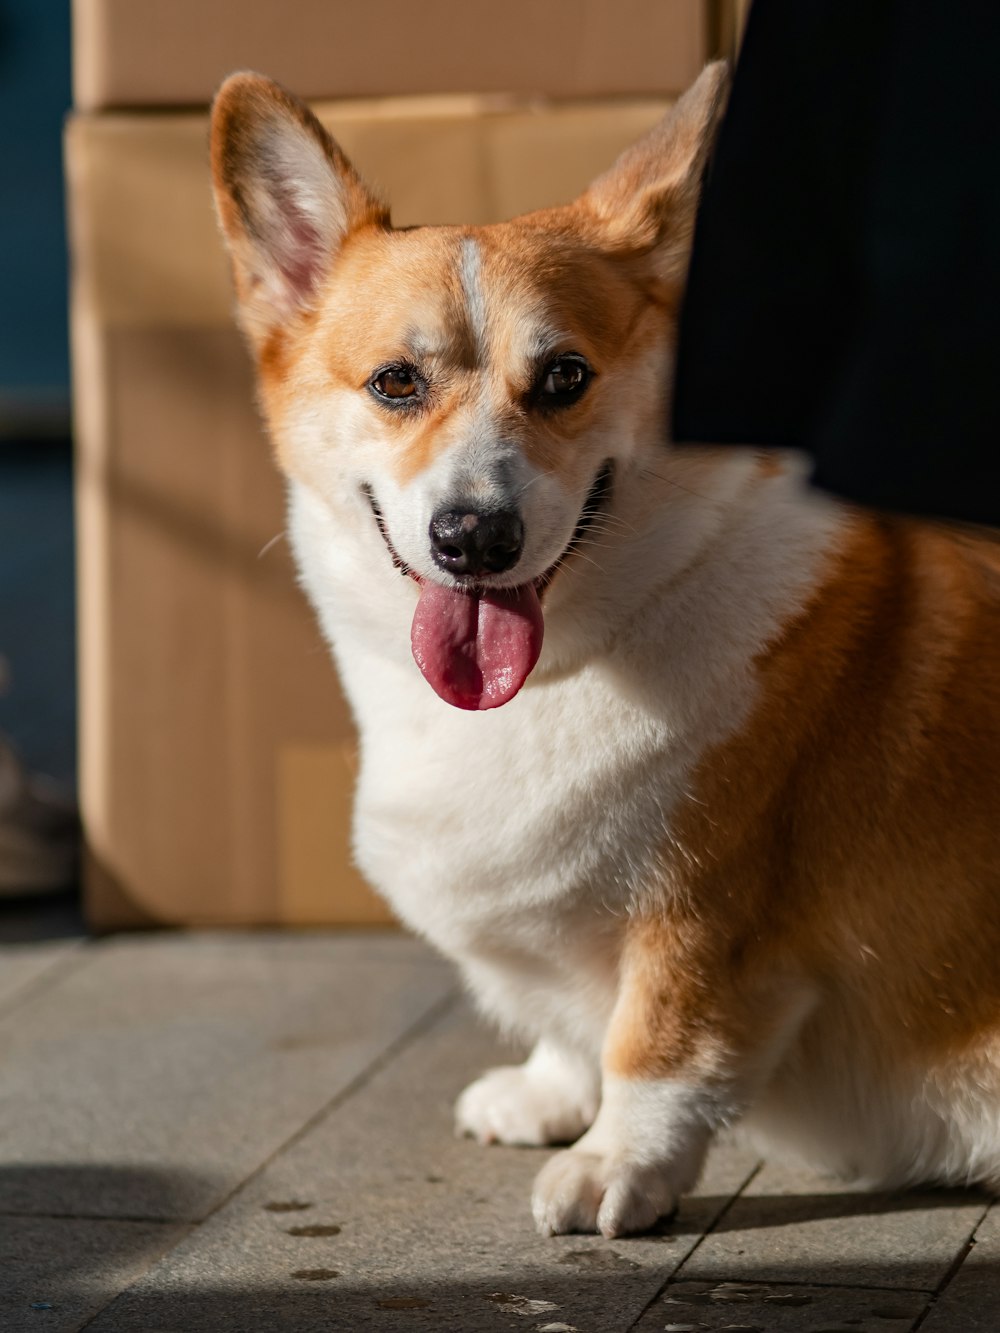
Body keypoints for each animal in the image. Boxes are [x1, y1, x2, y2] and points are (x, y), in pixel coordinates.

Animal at [212, 64, 1000, 1237]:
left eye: (564, 378)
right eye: (396, 382)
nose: (474, 536)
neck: (575, 663)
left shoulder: (706, 917)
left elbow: (657, 1046)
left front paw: (615, 1166)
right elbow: (572, 1021)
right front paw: (547, 1091)